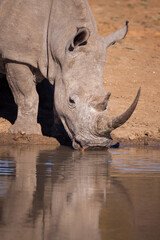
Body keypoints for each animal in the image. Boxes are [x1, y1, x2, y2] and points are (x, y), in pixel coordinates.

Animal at [0, 0, 140, 148]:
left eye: (107, 102)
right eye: (71, 101)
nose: (96, 145)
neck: (59, 42)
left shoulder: (60, 68)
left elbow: (56, 101)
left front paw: (59, 134)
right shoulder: (16, 56)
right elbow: (27, 96)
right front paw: (25, 132)